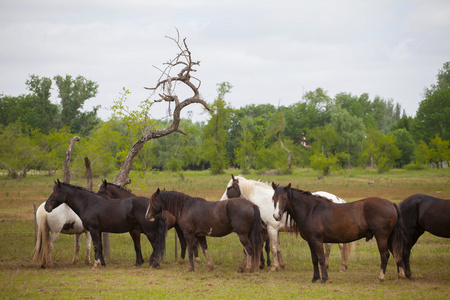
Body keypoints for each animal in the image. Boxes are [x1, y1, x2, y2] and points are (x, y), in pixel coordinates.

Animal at [221, 175, 356, 274]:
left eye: (229, 188)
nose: (222, 202)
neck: (265, 201)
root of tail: (338, 200)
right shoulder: (275, 230)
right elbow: (278, 248)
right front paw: (281, 265)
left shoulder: (271, 229)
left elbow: (273, 248)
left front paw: (274, 267)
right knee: (328, 246)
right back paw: (328, 265)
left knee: (341, 246)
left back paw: (342, 266)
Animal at [272, 183, 406, 284]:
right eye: (273, 198)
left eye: (284, 198)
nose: (276, 216)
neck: (310, 210)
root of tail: (391, 204)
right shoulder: (310, 242)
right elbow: (314, 259)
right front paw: (315, 278)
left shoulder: (317, 241)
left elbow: (321, 258)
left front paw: (324, 279)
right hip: (389, 238)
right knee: (396, 253)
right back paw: (401, 275)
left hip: (381, 237)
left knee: (385, 255)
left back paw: (380, 278)